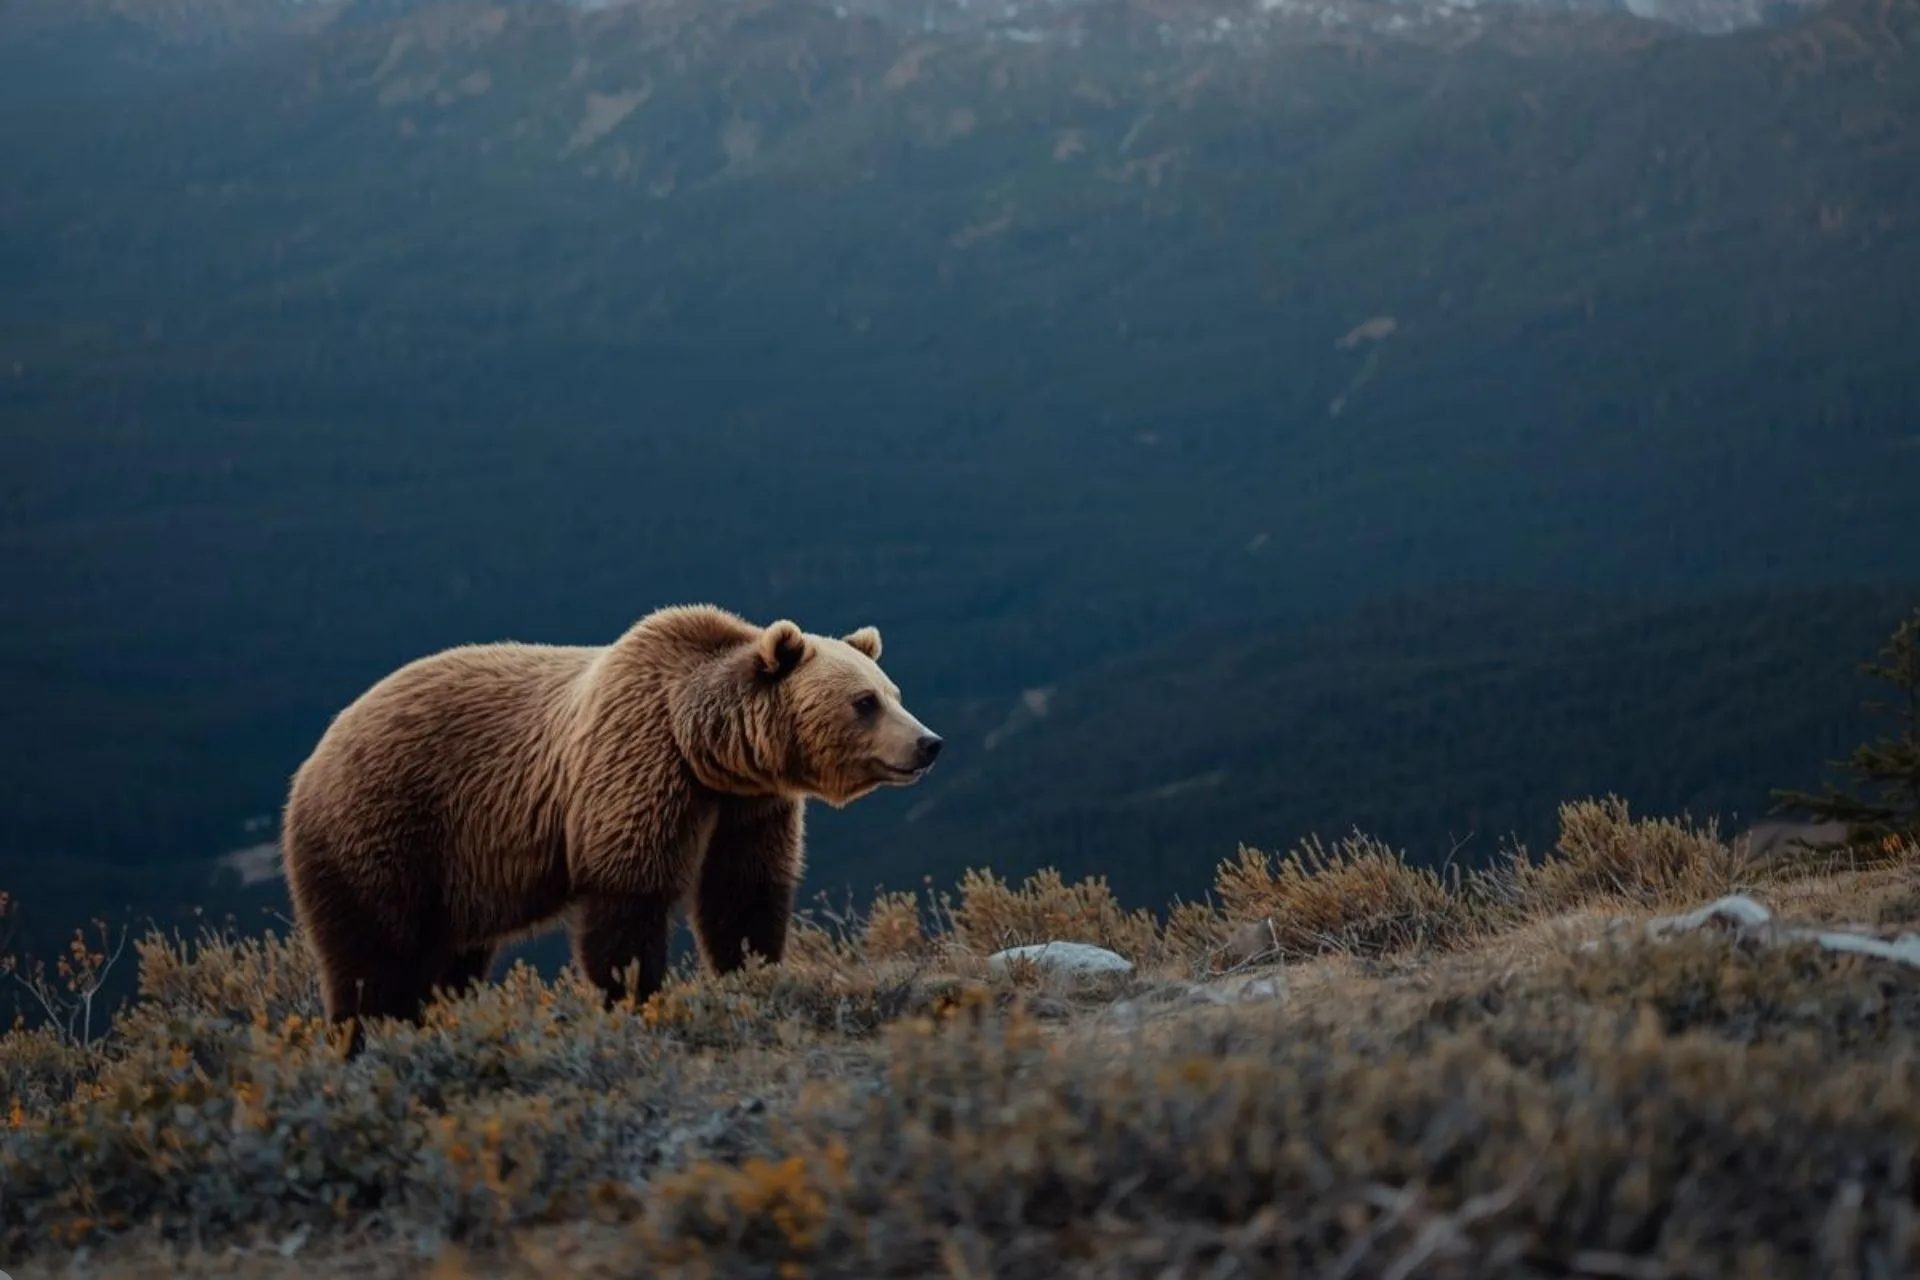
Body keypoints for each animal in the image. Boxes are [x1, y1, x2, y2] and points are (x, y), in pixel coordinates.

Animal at [278, 603, 942, 1055]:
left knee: (447, 963)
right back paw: (369, 1037)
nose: (928, 743)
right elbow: (628, 897)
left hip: (454, 881)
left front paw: (752, 971)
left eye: (895, 692)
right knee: (372, 958)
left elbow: (743, 894)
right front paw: (636, 997)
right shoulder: (636, 767)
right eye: (864, 702)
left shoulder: (745, 807)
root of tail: (313, 760)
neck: (706, 748)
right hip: (384, 832)